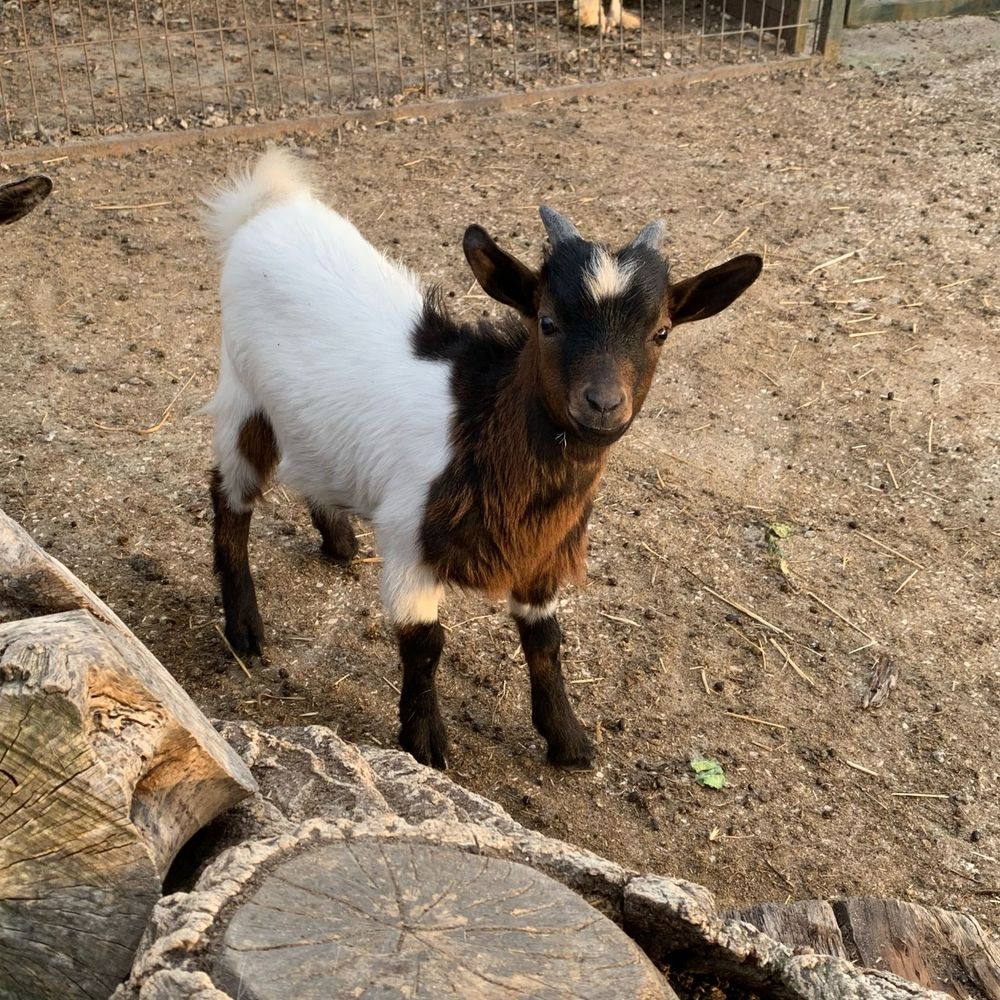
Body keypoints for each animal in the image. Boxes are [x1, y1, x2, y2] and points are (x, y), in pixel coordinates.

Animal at [207, 152, 760, 768]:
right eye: (547, 321)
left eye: (661, 331)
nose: (602, 404)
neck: (477, 425)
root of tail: (268, 205)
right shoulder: (411, 542)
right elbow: (426, 644)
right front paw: (426, 744)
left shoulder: (540, 551)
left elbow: (545, 640)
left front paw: (568, 738)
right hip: (242, 398)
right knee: (229, 497)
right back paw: (245, 629)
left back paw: (339, 538)